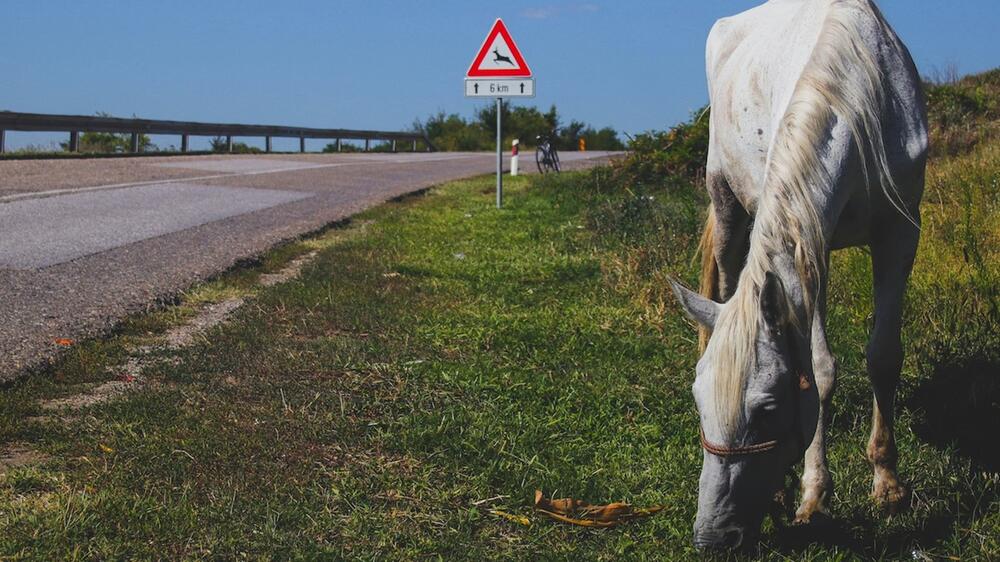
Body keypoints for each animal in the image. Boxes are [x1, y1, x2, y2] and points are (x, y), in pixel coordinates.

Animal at [668, 0, 932, 544]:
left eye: (767, 409)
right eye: (699, 401)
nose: (713, 536)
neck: (859, 98)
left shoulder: (900, 232)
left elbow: (883, 356)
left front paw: (887, 481)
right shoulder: (814, 245)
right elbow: (821, 368)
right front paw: (812, 494)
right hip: (726, 203)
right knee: (726, 282)